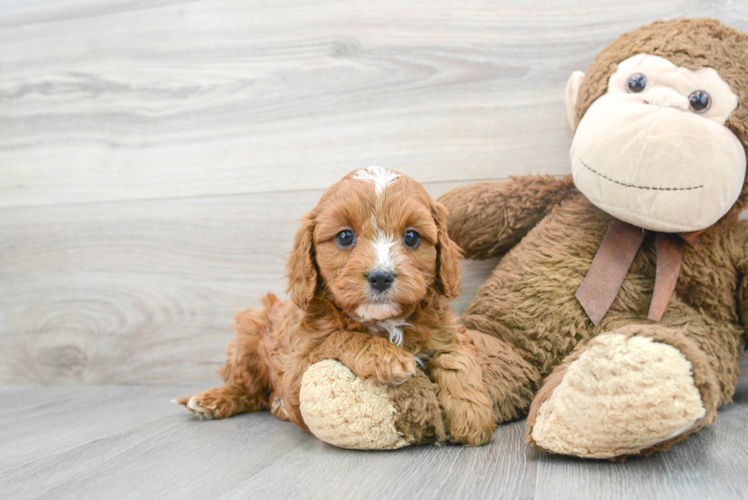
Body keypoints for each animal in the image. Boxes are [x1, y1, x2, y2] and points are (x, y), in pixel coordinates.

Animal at [177, 167, 496, 446]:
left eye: (412, 236)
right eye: (344, 236)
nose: (381, 276)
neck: (384, 322)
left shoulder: (448, 330)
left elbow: (456, 358)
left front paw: (473, 415)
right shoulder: (297, 368)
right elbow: (341, 336)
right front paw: (386, 357)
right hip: (250, 331)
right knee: (249, 389)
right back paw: (214, 400)